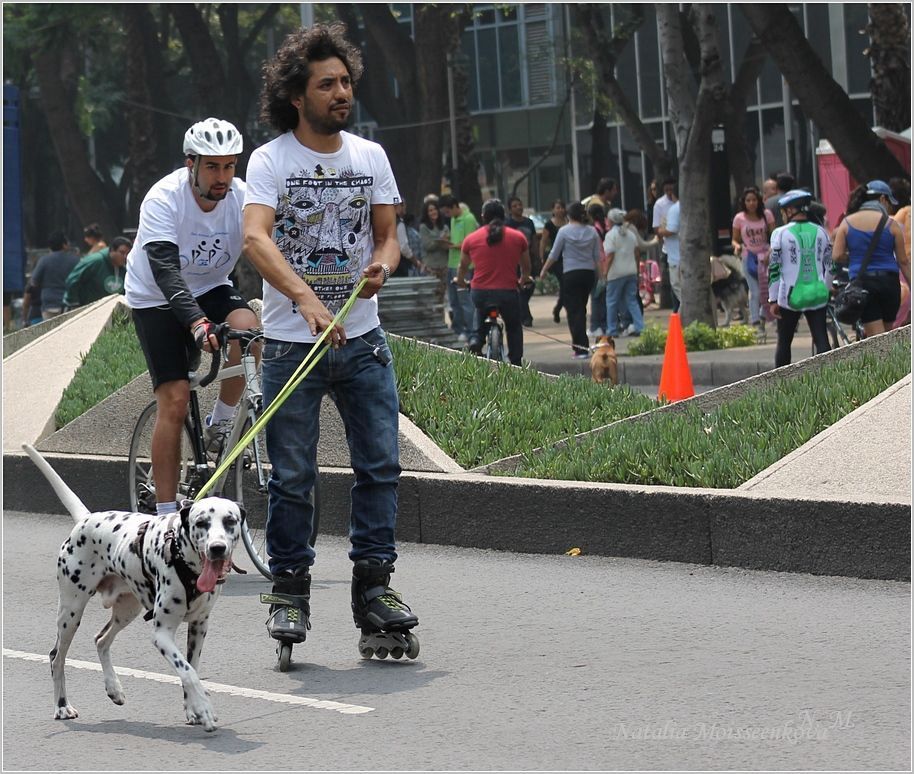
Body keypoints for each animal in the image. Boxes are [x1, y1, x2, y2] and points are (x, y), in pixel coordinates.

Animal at [24, 446, 242, 732]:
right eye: (202, 522)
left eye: (230, 521)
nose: (218, 548)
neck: (184, 560)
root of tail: (86, 518)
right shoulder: (161, 634)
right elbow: (188, 672)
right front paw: (204, 708)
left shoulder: (199, 627)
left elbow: (190, 668)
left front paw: (193, 709)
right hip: (70, 613)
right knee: (56, 657)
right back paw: (62, 706)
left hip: (127, 611)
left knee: (101, 640)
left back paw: (113, 688)